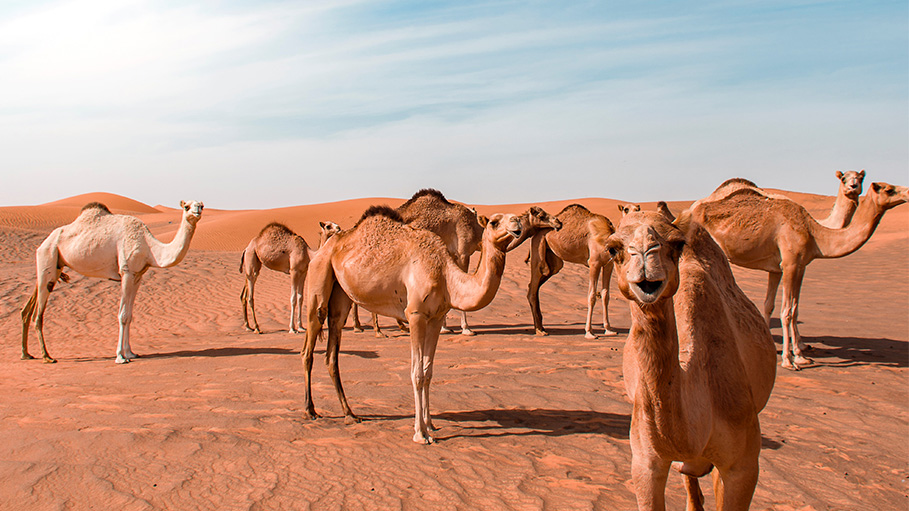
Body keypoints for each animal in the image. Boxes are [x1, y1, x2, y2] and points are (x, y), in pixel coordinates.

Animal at [21, 200, 204, 364]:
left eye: (200, 204)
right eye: (186, 206)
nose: (198, 209)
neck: (149, 248)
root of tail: (43, 243)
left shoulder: (138, 275)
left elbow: (129, 315)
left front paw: (131, 353)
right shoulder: (126, 271)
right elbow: (122, 315)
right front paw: (120, 357)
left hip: (55, 265)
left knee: (30, 305)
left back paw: (26, 354)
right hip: (48, 255)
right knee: (39, 313)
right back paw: (47, 356)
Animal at [301, 206, 522, 444]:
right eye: (493, 222)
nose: (517, 221)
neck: (445, 276)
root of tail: (323, 249)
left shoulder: (435, 318)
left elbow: (428, 372)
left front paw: (431, 424)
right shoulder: (415, 315)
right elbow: (416, 374)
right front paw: (420, 433)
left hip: (340, 296)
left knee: (332, 351)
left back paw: (349, 414)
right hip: (318, 279)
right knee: (308, 347)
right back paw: (310, 410)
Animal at [526, 204, 617, 339]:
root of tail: (535, 234)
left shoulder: (609, 264)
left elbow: (605, 295)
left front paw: (609, 329)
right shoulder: (594, 263)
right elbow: (592, 296)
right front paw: (589, 332)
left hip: (554, 261)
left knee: (536, 285)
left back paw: (541, 327)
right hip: (537, 250)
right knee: (532, 287)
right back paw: (539, 330)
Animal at [687, 180, 908, 370]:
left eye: (860, 178)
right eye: (888, 189)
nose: (907, 192)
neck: (814, 233)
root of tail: (689, 210)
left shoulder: (789, 267)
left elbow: (786, 308)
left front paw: (797, 355)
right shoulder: (790, 264)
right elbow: (786, 312)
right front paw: (788, 360)